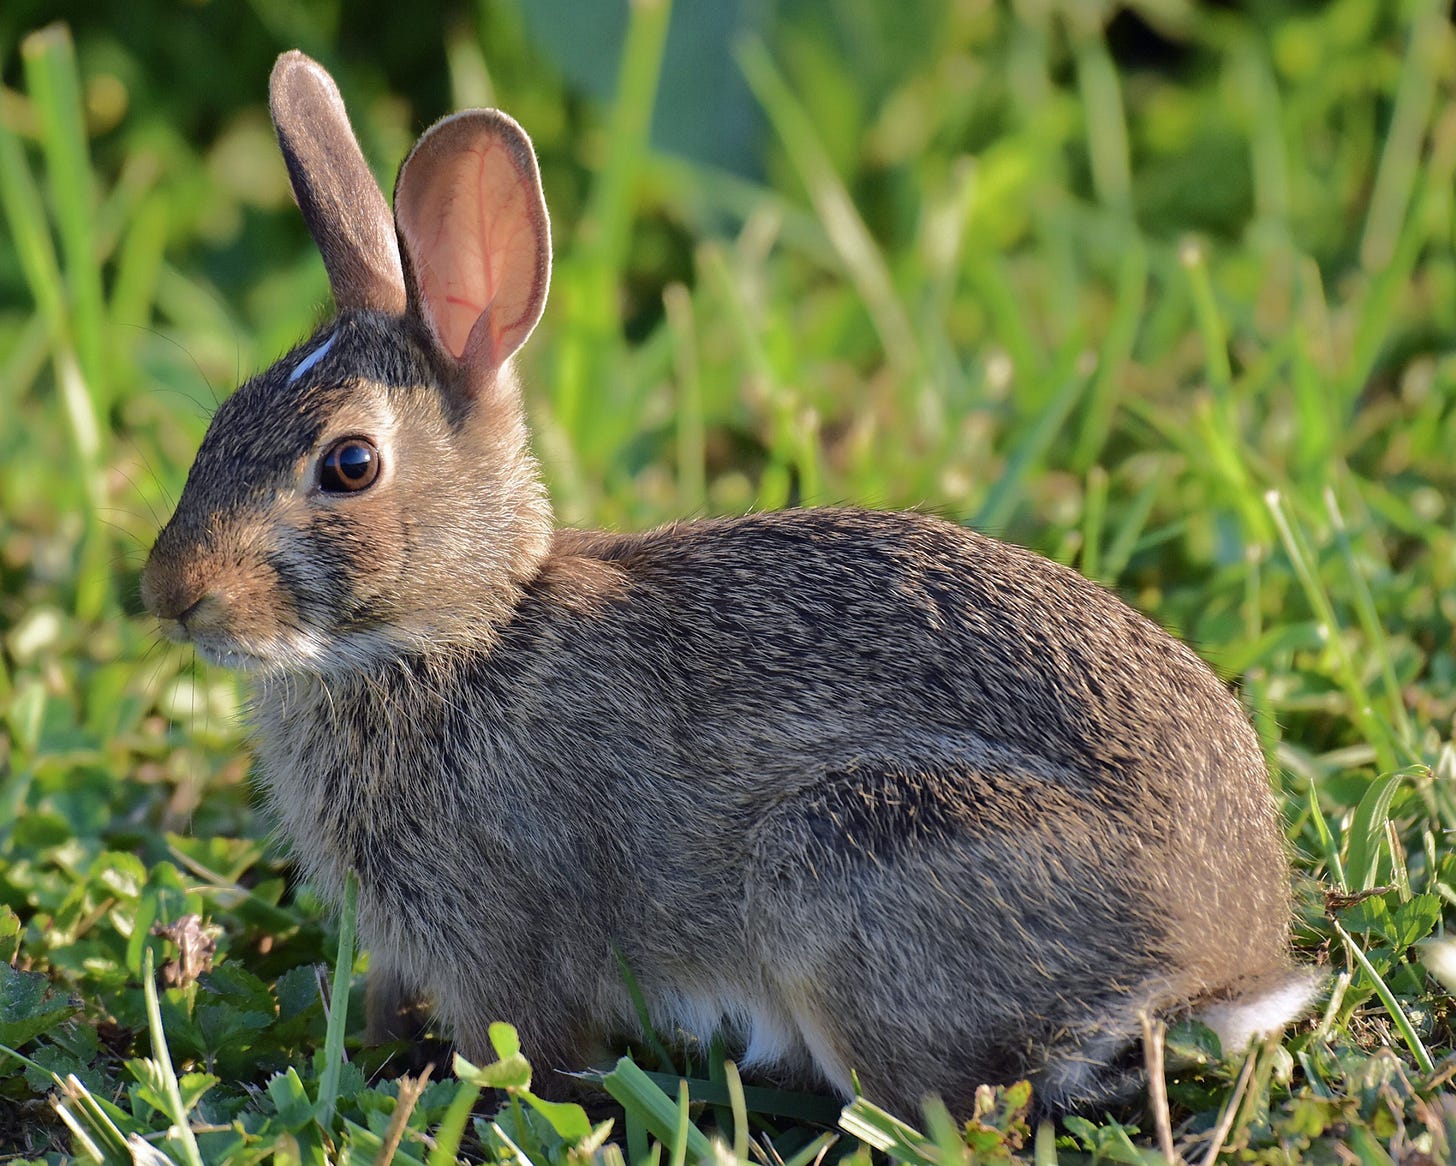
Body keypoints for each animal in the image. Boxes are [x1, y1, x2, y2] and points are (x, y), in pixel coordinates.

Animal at [140, 49, 1316, 1120]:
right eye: (219, 421)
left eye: (349, 465)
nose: (171, 592)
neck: (458, 633)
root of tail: (1222, 957)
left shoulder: (498, 929)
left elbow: (522, 1055)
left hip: (844, 861)